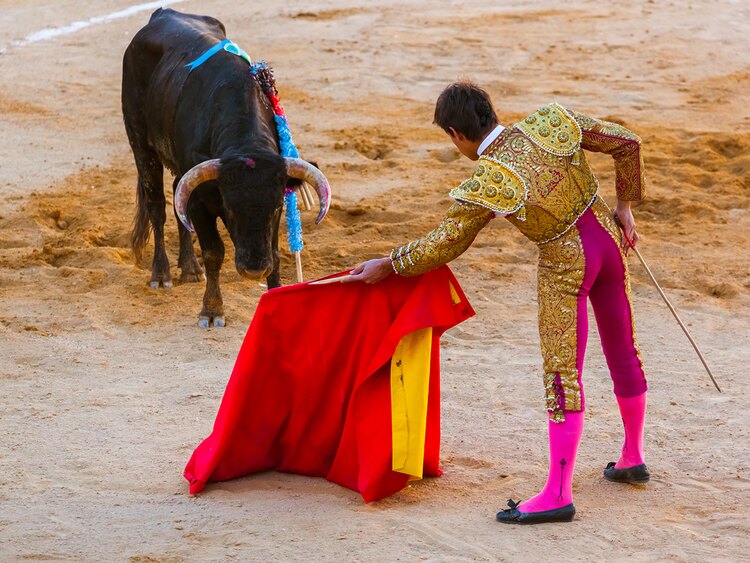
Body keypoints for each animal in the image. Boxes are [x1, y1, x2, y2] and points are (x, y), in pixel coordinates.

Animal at [122, 7, 328, 330]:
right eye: (230, 209)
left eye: (275, 209)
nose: (254, 270)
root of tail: (163, 12)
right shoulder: (200, 201)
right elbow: (214, 251)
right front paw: (211, 310)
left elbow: (274, 253)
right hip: (140, 142)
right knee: (157, 205)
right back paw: (162, 274)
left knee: (176, 195)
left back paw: (190, 268)